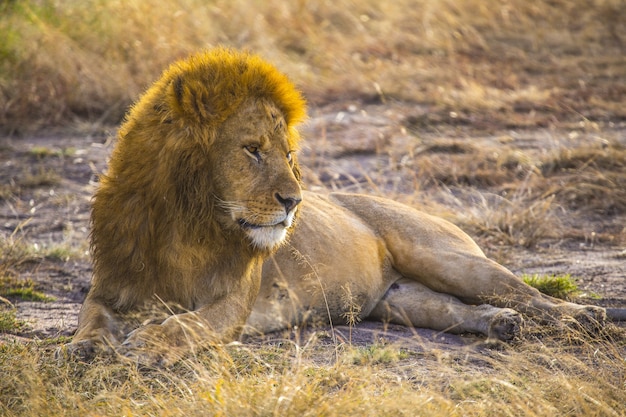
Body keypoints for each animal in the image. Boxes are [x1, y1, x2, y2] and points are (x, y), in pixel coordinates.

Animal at [68, 47, 604, 362]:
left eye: (288, 154)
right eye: (252, 149)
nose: (294, 201)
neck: (183, 221)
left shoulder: (234, 300)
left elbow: (187, 323)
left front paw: (150, 342)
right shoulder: (111, 285)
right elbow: (90, 318)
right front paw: (84, 348)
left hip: (447, 258)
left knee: (527, 293)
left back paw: (581, 317)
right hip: (400, 299)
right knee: (451, 309)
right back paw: (500, 324)